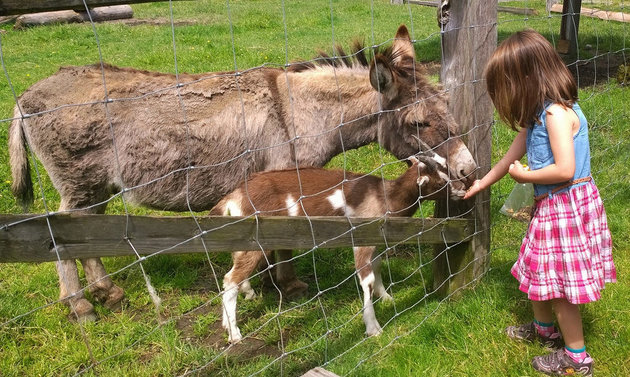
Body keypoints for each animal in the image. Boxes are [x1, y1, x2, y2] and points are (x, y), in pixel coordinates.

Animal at [210, 148, 466, 342]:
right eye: (442, 181)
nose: (463, 190)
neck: (385, 195)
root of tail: (234, 196)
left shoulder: (375, 241)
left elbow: (378, 269)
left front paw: (387, 298)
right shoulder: (360, 240)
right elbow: (367, 280)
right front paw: (373, 327)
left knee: (234, 269)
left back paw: (229, 318)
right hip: (257, 237)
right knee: (230, 279)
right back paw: (235, 334)